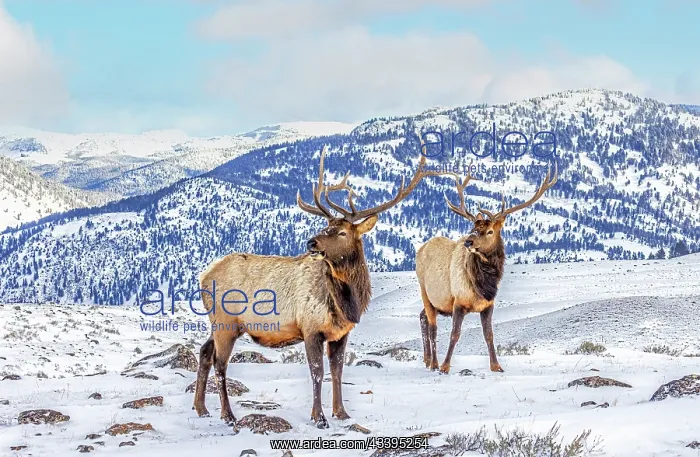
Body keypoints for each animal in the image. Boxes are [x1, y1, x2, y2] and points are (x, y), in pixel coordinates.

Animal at [193, 144, 443, 428]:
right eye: (326, 226)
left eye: (342, 232)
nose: (311, 242)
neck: (346, 304)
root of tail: (203, 276)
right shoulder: (311, 328)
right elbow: (317, 371)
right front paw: (319, 417)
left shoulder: (341, 333)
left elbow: (337, 370)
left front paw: (341, 413)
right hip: (226, 322)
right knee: (220, 363)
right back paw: (227, 414)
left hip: (219, 324)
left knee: (204, 351)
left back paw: (201, 408)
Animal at [416, 163, 558, 374]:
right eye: (473, 229)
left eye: (490, 231)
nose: (468, 241)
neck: (483, 286)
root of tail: (420, 249)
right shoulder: (458, 302)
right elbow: (454, 334)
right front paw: (445, 366)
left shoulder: (489, 305)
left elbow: (489, 335)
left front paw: (496, 366)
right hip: (425, 292)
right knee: (432, 327)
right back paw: (433, 363)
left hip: (438, 303)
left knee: (422, 316)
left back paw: (426, 360)